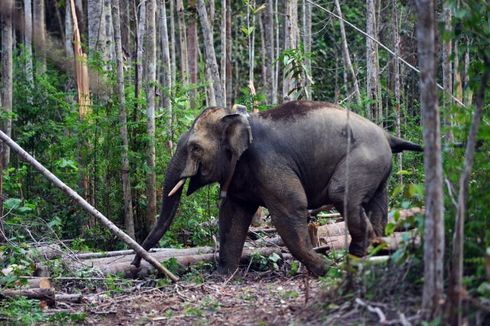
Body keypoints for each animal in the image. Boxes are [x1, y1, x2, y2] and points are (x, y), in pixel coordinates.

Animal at [132, 100, 424, 276]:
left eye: (195, 148)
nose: (136, 266)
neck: (241, 119)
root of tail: (387, 135)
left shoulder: (268, 163)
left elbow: (291, 208)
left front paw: (326, 269)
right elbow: (231, 218)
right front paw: (224, 275)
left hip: (364, 159)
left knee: (343, 196)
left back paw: (355, 260)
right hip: (380, 168)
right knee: (378, 205)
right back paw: (378, 251)